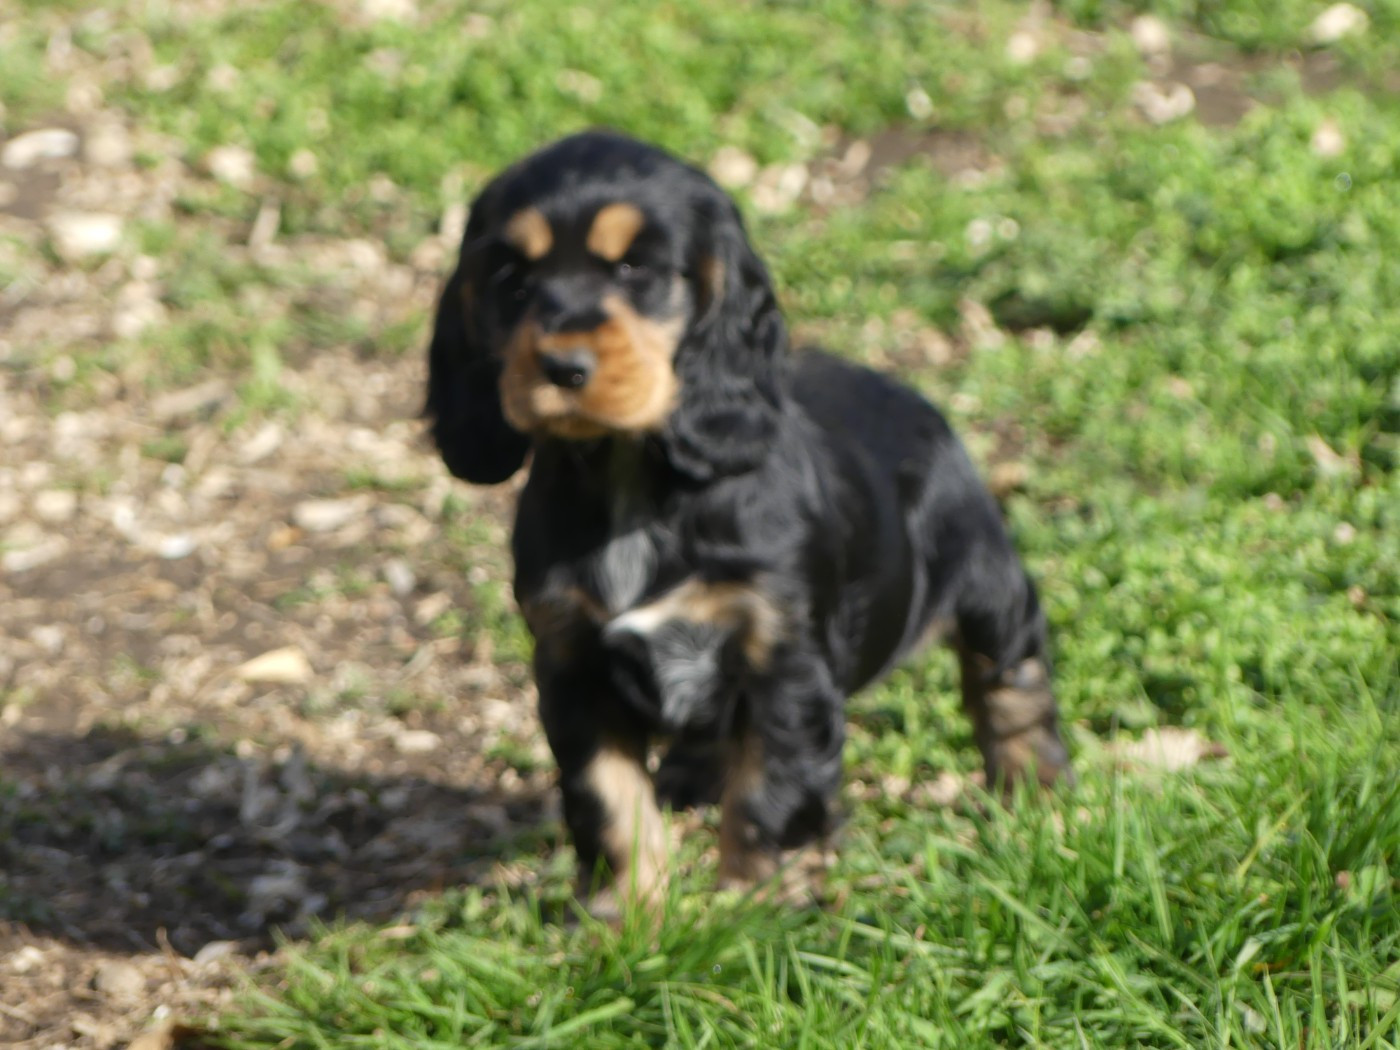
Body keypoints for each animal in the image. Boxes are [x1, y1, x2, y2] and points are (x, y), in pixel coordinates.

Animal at [425, 130, 1070, 915]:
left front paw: (757, 907)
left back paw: (1036, 788)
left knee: (1010, 675)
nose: (560, 367)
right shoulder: (571, 660)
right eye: (511, 278)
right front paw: (626, 916)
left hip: (985, 579)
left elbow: (770, 791)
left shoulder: (784, 660)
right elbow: (608, 798)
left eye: (636, 268)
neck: (634, 480)